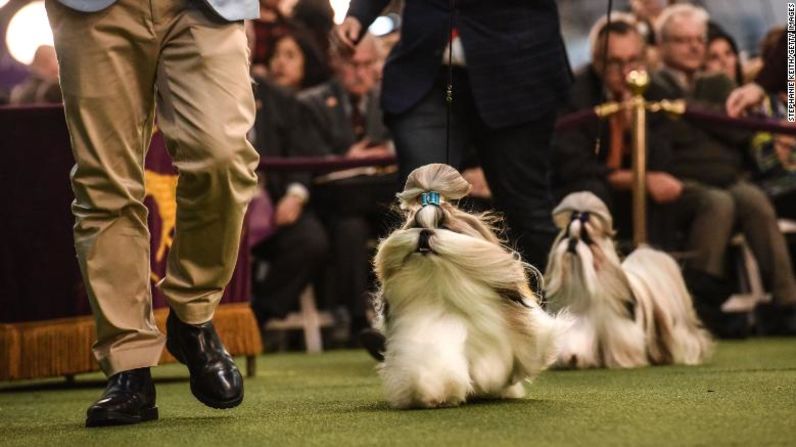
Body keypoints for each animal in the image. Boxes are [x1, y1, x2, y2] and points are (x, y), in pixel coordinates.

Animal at [544, 191, 712, 370]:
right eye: (566, 236)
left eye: (586, 239)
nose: (572, 242)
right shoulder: (578, 322)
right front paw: (572, 357)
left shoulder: (619, 328)